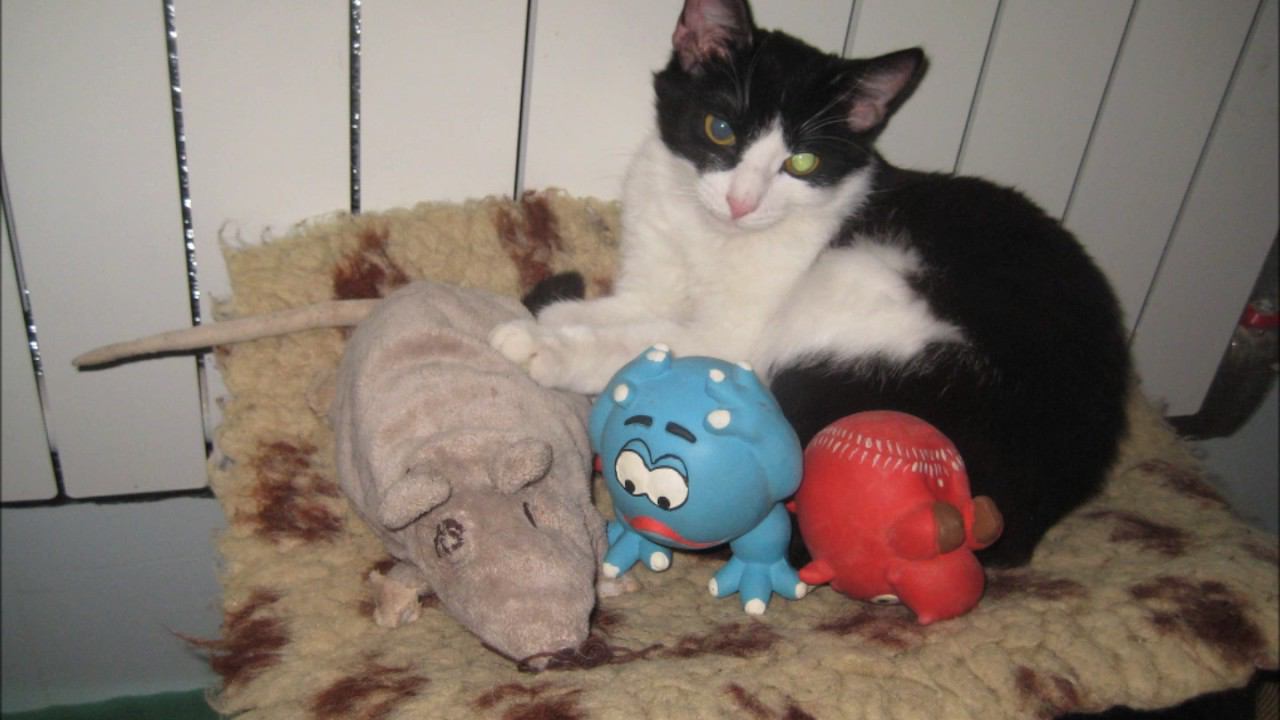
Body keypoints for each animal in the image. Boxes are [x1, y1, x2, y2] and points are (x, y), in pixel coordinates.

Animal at [488, 0, 1131, 566]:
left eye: (802, 163)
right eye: (719, 128)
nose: (742, 203)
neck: (710, 235)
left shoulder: (734, 335)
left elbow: (645, 343)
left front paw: (540, 347)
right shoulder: (652, 276)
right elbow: (625, 312)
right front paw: (544, 320)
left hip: (855, 288)